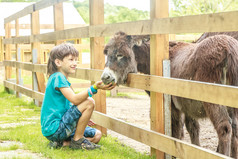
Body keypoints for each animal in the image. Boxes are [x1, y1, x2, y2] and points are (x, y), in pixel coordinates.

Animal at [101, 31, 238, 158]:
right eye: (107, 54)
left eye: (120, 55)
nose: (105, 77)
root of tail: (230, 49)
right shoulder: (188, 108)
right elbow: (193, 129)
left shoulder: (174, 106)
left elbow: (176, 133)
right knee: (235, 128)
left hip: (213, 97)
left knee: (224, 127)